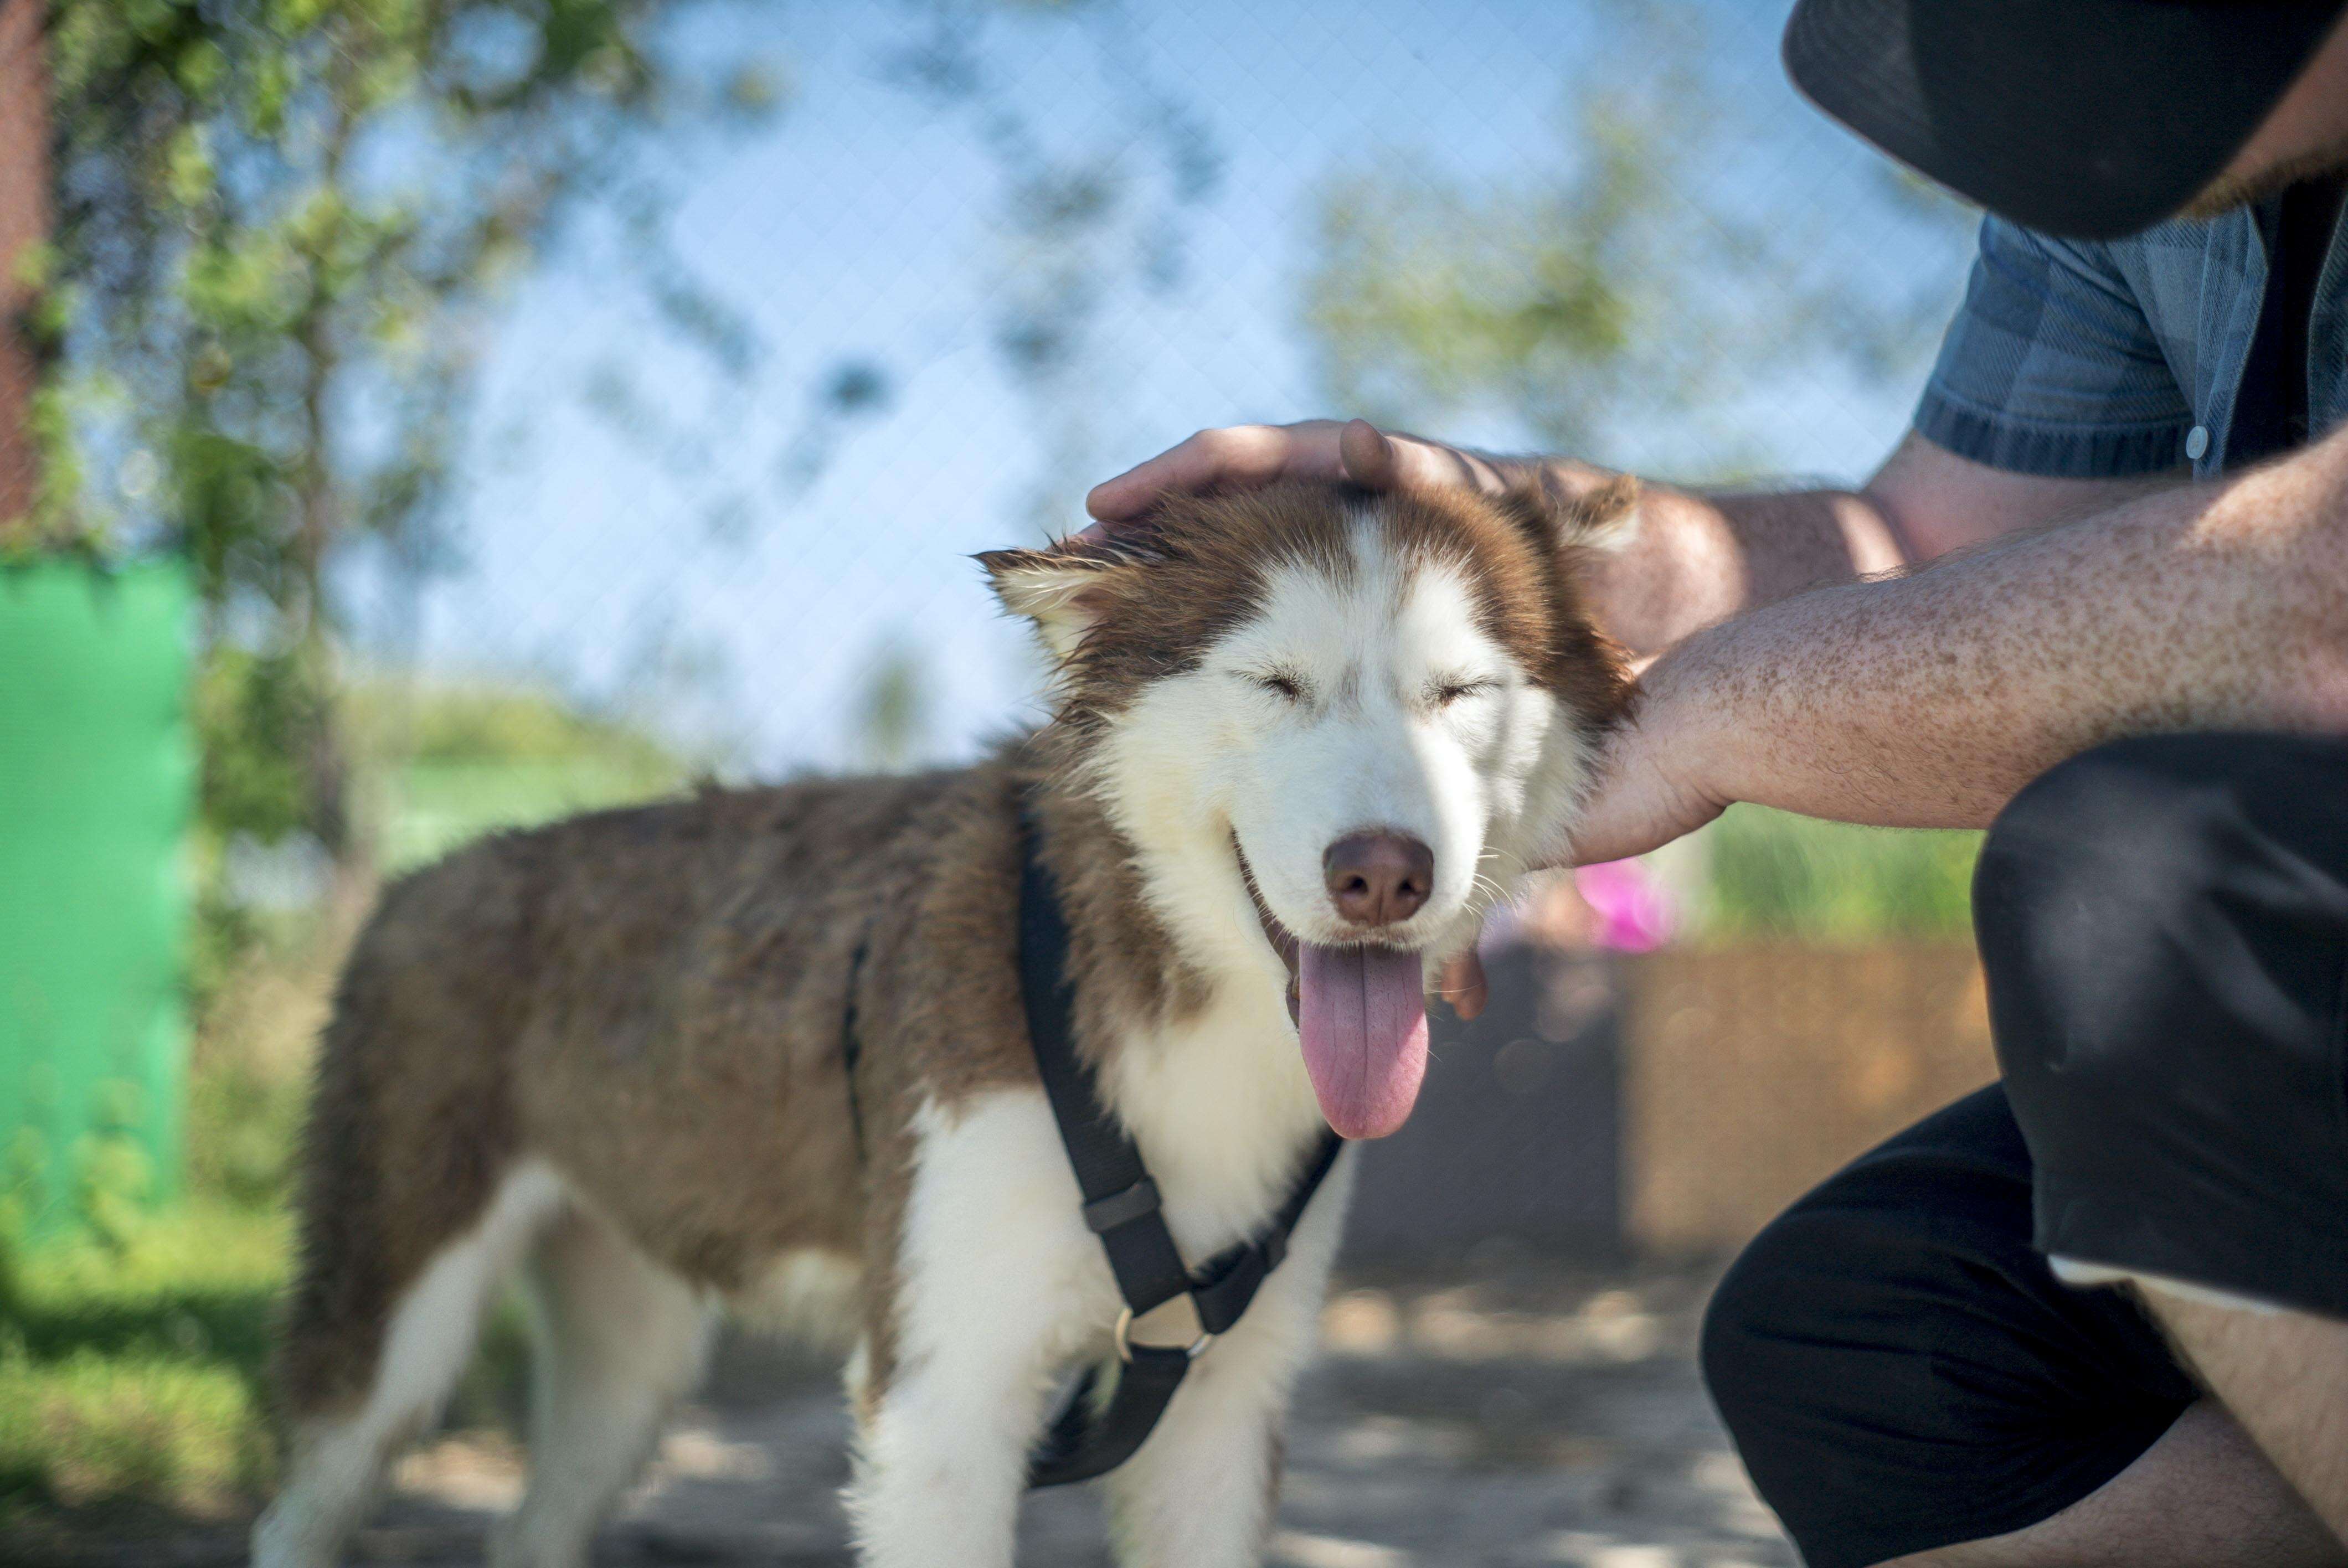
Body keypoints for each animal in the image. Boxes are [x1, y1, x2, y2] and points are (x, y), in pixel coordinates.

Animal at [243, 474, 1634, 1568]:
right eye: (1273, 682)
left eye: (1459, 692)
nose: (1383, 874)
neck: (1163, 1000)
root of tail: (426, 875)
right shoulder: (939, 1405)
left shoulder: (1221, 1408)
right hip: (387, 1323)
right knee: (299, 1509)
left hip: (629, 1347)